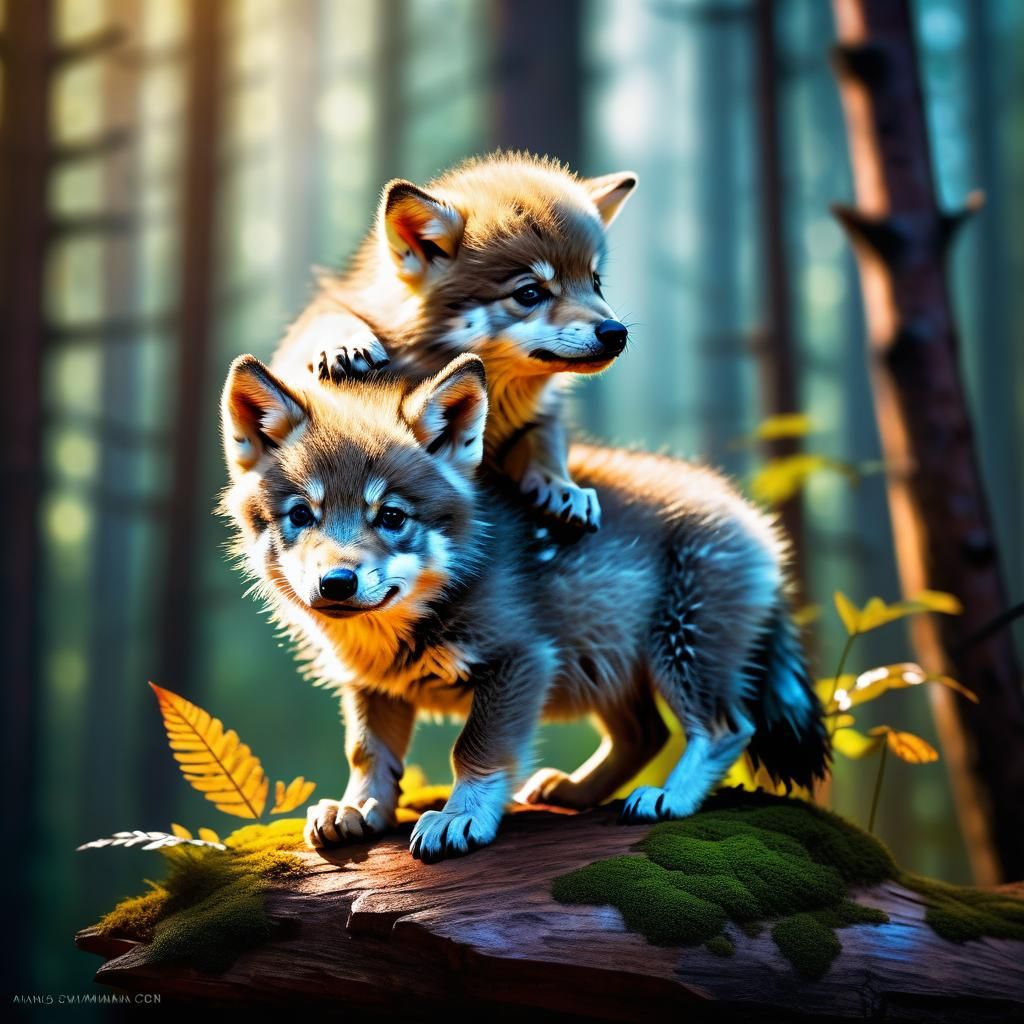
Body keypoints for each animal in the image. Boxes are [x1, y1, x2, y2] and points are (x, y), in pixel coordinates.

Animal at [220, 353, 828, 862]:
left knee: (725, 728)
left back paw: (669, 798)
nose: (337, 583)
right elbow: (367, 755)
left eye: (391, 516)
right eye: (302, 515)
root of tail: (751, 516)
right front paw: (358, 809)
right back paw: (577, 791)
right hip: (606, 667)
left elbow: (473, 750)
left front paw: (461, 817)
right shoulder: (375, 687)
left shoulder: (520, 660)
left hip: (678, 652)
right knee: (644, 735)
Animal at [273, 152, 637, 533]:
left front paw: (563, 486)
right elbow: (330, 318)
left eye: (595, 282)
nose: (616, 332)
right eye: (530, 293)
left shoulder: (545, 411)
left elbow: (544, 441)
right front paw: (348, 345)